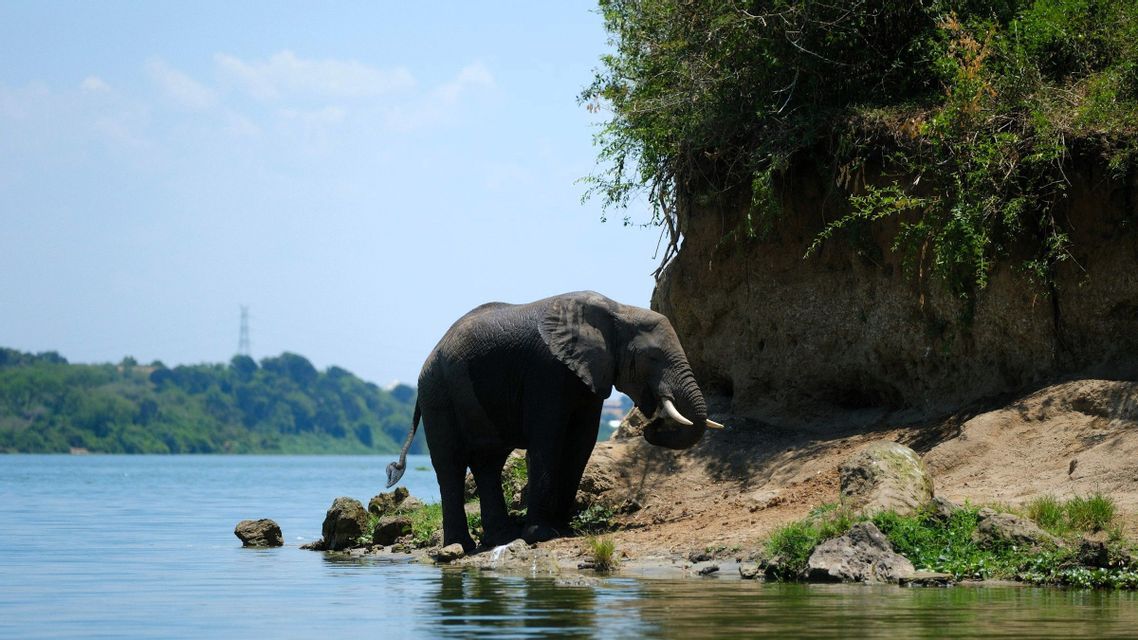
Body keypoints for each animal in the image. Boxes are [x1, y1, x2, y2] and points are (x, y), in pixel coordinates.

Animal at [385, 291, 722, 551]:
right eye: (650, 358)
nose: (650, 426)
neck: (617, 310)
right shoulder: (547, 370)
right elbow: (548, 440)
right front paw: (542, 535)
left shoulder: (589, 373)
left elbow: (581, 443)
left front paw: (563, 529)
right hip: (437, 393)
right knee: (451, 464)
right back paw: (460, 546)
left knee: (489, 462)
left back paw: (501, 538)